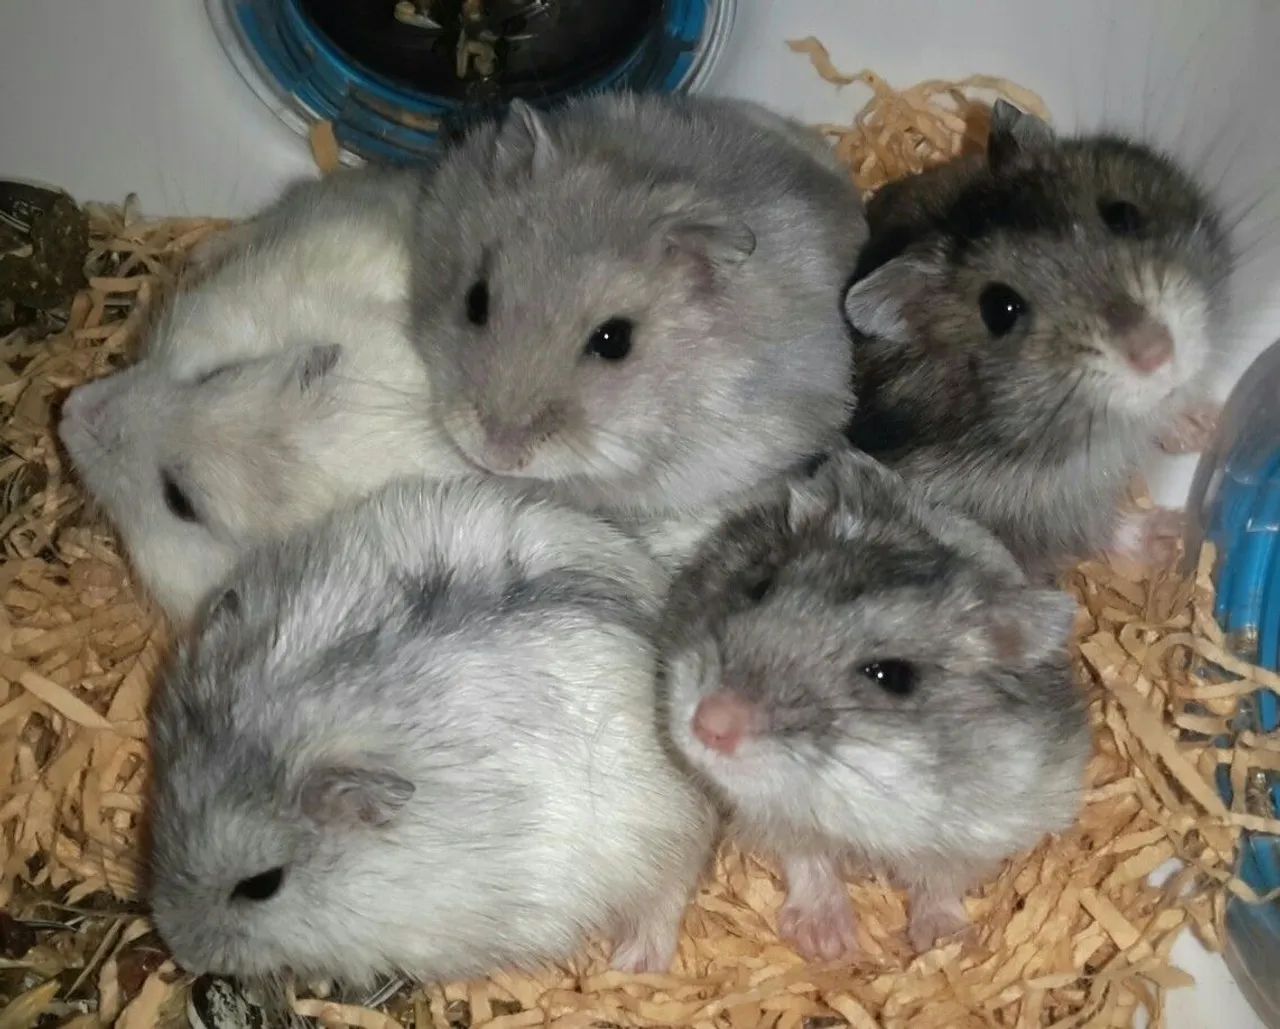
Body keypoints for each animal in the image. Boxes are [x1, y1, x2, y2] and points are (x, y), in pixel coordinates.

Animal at [147, 476, 715, 984]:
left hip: (662, 837)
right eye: (160, 811)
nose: (184, 955)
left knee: (667, 894)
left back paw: (633, 964)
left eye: (261, 885)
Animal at [660, 447, 1090, 958]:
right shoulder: (776, 818)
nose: (710, 723)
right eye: (759, 585)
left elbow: (941, 885)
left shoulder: (979, 832)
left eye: (893, 676)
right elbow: (808, 861)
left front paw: (945, 944)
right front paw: (828, 945)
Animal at [842, 100, 1233, 573]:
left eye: (1122, 214)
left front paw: (1208, 424)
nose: (1157, 354)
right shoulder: (1026, 512)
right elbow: (1098, 530)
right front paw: (1173, 539)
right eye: (999, 310)